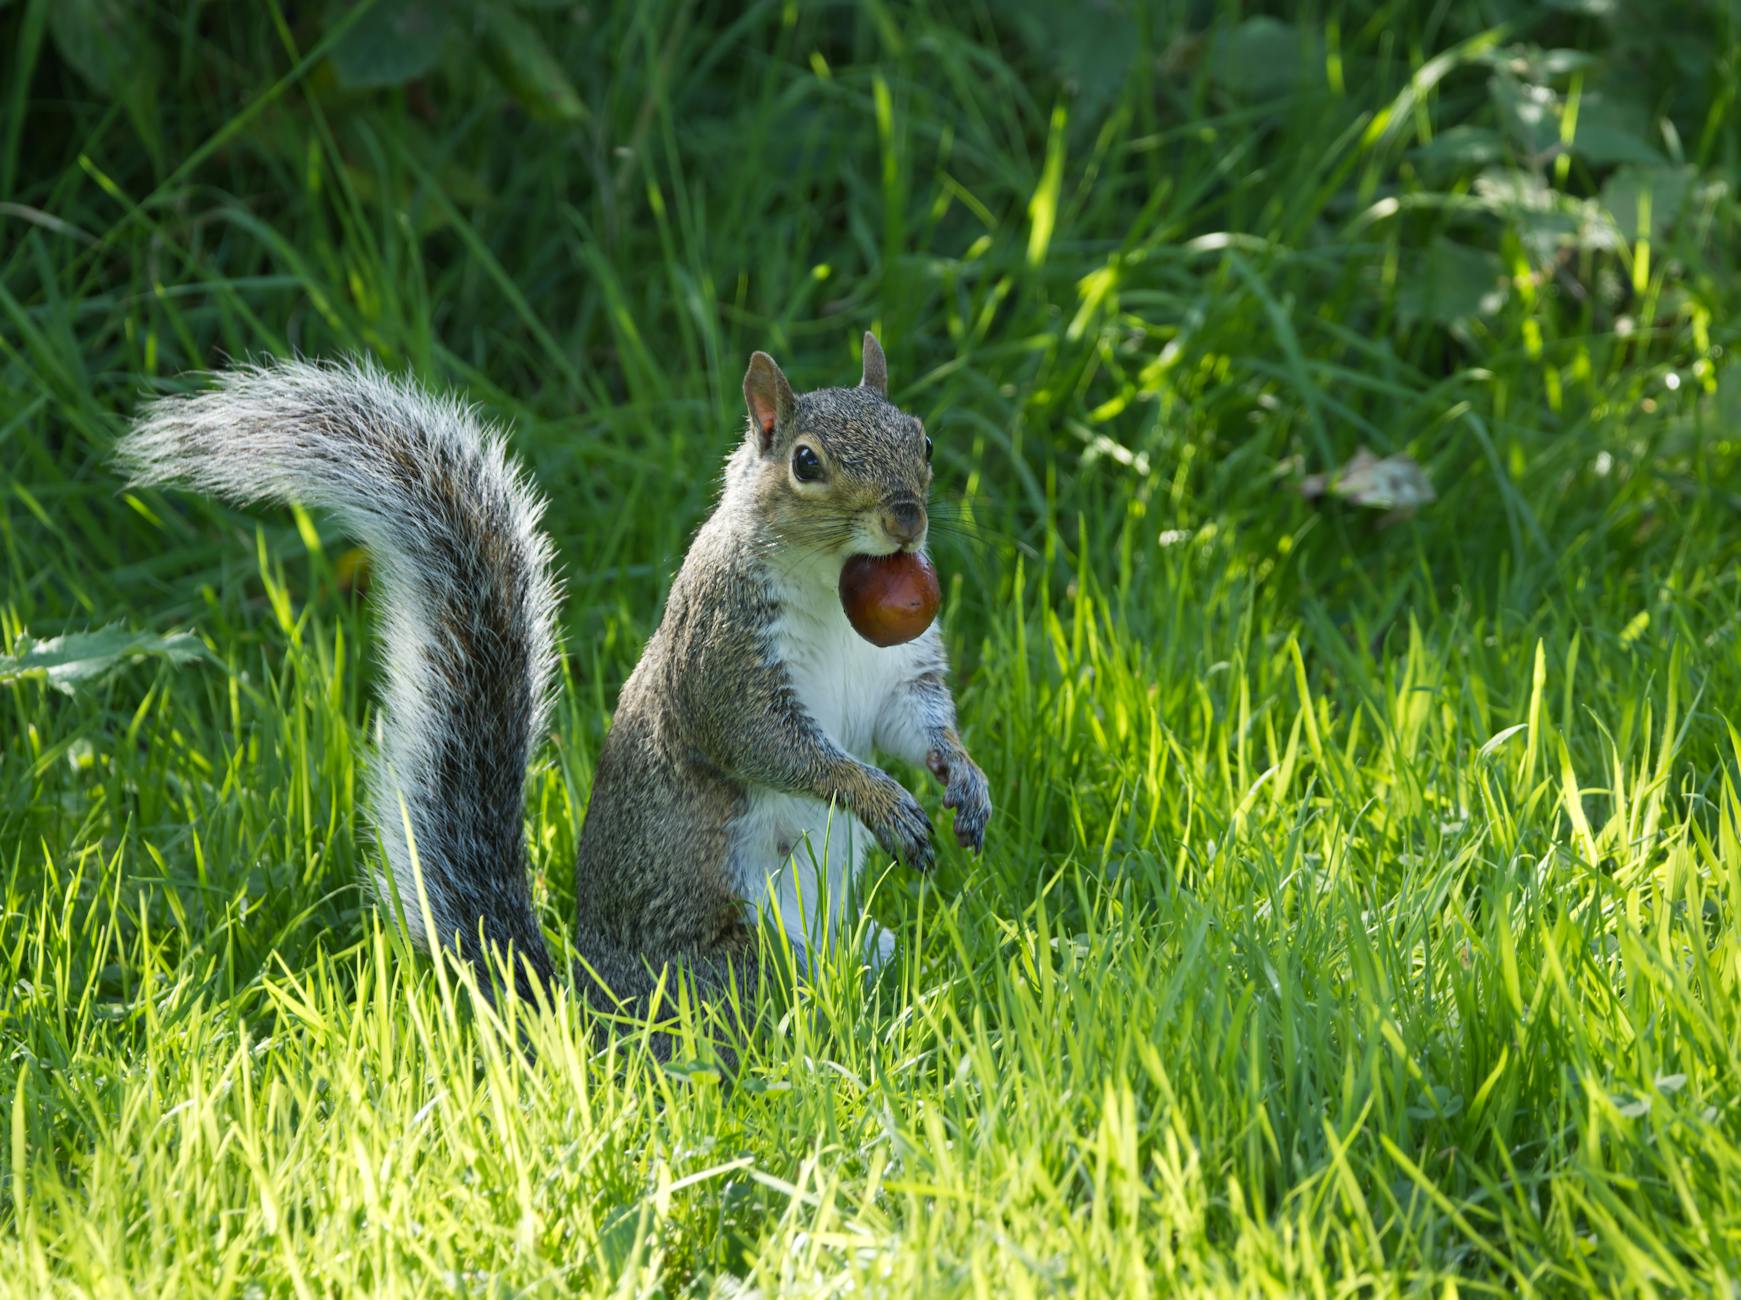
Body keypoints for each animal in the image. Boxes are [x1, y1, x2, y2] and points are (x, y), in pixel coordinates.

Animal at [117, 333, 991, 1034]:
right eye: (806, 462)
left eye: (922, 439)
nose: (906, 517)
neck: (835, 582)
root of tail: (589, 1015)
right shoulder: (723, 659)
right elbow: (774, 746)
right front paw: (878, 798)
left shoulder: (901, 673)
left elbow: (915, 724)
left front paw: (964, 779)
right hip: (721, 968)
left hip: (849, 943)